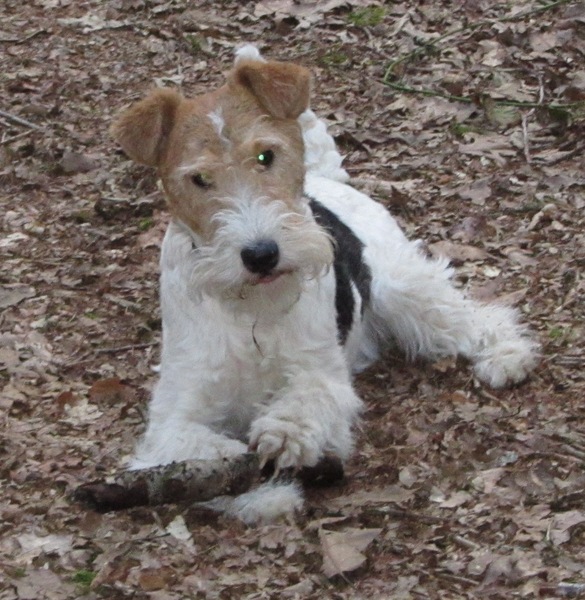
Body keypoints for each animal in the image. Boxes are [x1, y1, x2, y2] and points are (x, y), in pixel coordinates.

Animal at [110, 47, 540, 524]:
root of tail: (324, 178)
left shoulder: (320, 371)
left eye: (266, 155)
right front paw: (265, 493)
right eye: (199, 178)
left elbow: (308, 397)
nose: (261, 254)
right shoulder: (173, 416)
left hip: (405, 288)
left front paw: (285, 435)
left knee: (476, 316)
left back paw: (507, 355)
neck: (252, 311)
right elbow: (206, 452)